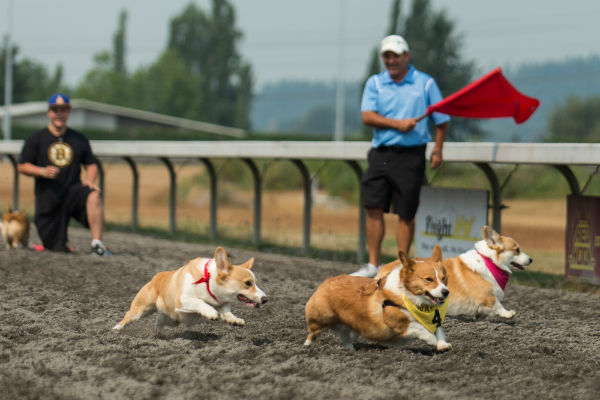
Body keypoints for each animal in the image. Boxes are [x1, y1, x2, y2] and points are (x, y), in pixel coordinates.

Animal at [113, 247, 268, 332]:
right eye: (248, 283)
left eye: (255, 282)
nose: (266, 299)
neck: (208, 283)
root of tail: (155, 277)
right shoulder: (182, 300)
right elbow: (199, 302)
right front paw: (211, 312)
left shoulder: (222, 303)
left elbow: (227, 312)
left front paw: (235, 320)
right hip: (141, 309)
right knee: (128, 316)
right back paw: (116, 329)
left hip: (174, 319)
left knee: (160, 320)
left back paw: (159, 333)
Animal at [304, 247, 450, 354]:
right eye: (429, 279)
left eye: (443, 278)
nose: (446, 292)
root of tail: (327, 281)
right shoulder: (399, 324)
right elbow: (421, 328)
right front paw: (433, 340)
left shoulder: (434, 321)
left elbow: (439, 332)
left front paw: (443, 345)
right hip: (321, 319)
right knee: (312, 333)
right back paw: (306, 346)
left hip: (351, 327)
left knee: (345, 338)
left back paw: (351, 350)